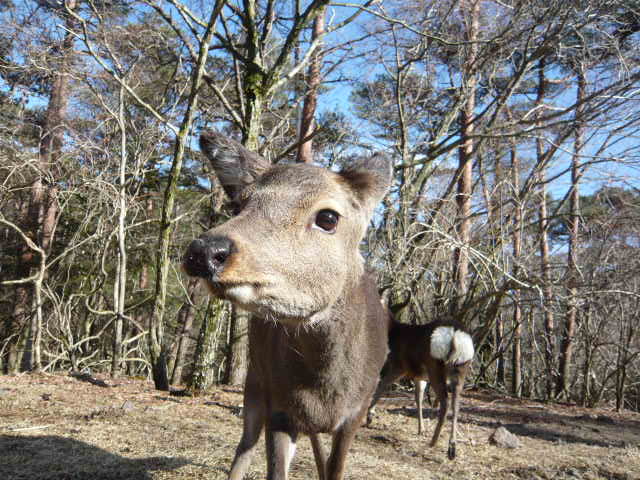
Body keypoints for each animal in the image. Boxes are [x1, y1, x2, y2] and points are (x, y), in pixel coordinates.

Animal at [180, 130, 390, 480]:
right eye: (240, 204)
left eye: (328, 217)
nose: (204, 251)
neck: (327, 388)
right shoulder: (279, 406)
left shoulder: (356, 415)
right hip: (255, 381)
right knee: (244, 445)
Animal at [364, 316, 476, 460]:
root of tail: (454, 336)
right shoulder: (419, 376)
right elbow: (418, 398)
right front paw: (421, 429)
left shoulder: (399, 365)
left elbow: (382, 385)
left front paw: (369, 416)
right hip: (460, 368)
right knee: (455, 405)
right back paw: (451, 448)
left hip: (434, 365)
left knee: (445, 402)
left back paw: (434, 441)